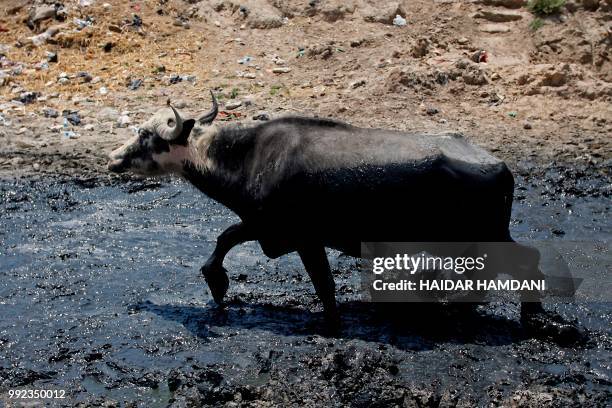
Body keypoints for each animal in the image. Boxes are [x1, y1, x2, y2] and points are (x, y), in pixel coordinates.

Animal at [107, 93, 580, 342]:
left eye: (146, 134)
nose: (112, 158)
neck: (249, 158)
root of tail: (498, 164)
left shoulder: (296, 235)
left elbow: (319, 281)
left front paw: (331, 323)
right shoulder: (269, 229)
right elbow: (226, 238)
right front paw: (218, 284)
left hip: (487, 237)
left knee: (528, 262)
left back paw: (530, 317)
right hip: (480, 241)